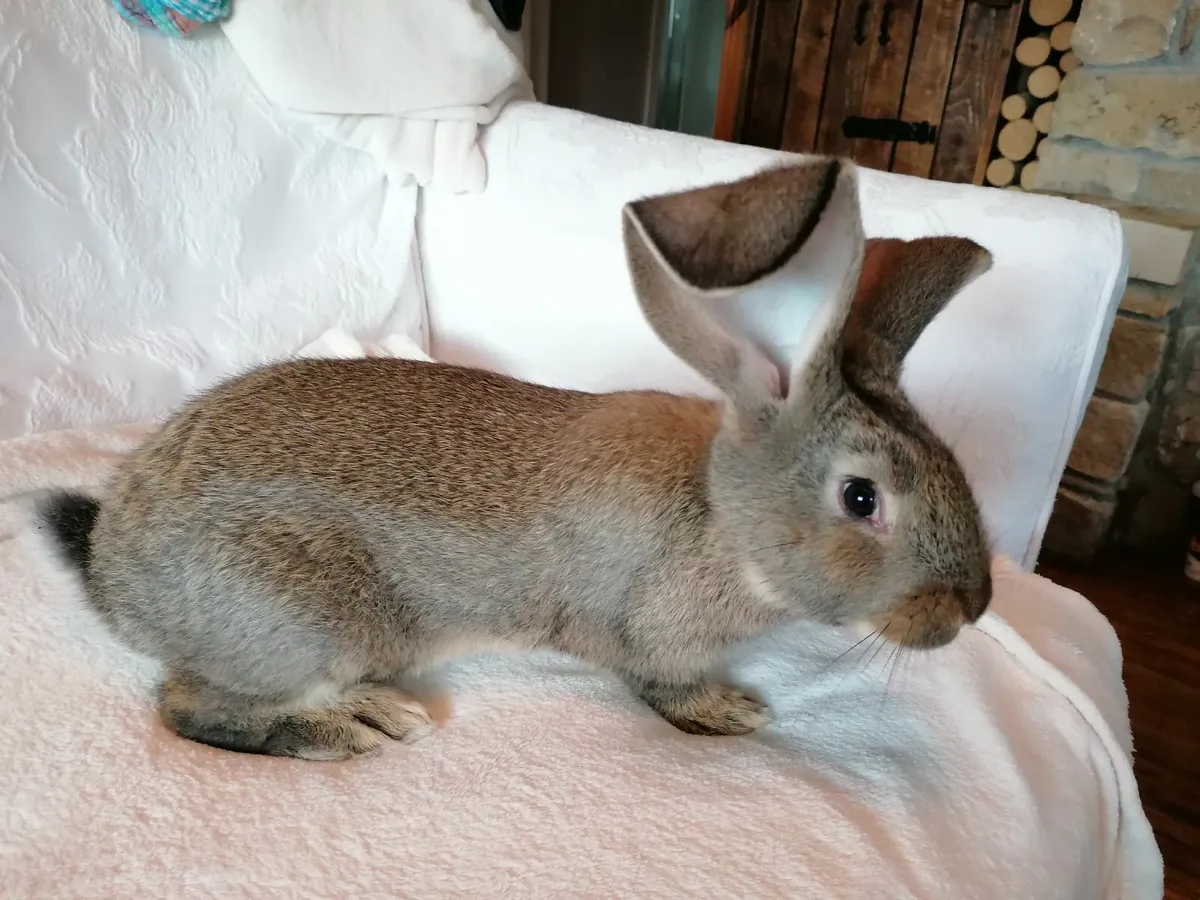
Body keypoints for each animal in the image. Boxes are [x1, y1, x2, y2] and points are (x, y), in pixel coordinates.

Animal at [39, 157, 994, 761]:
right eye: (863, 499)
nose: (972, 607)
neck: (724, 519)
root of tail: (114, 575)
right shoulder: (651, 634)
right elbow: (666, 687)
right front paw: (733, 711)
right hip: (297, 623)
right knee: (191, 707)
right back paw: (357, 727)